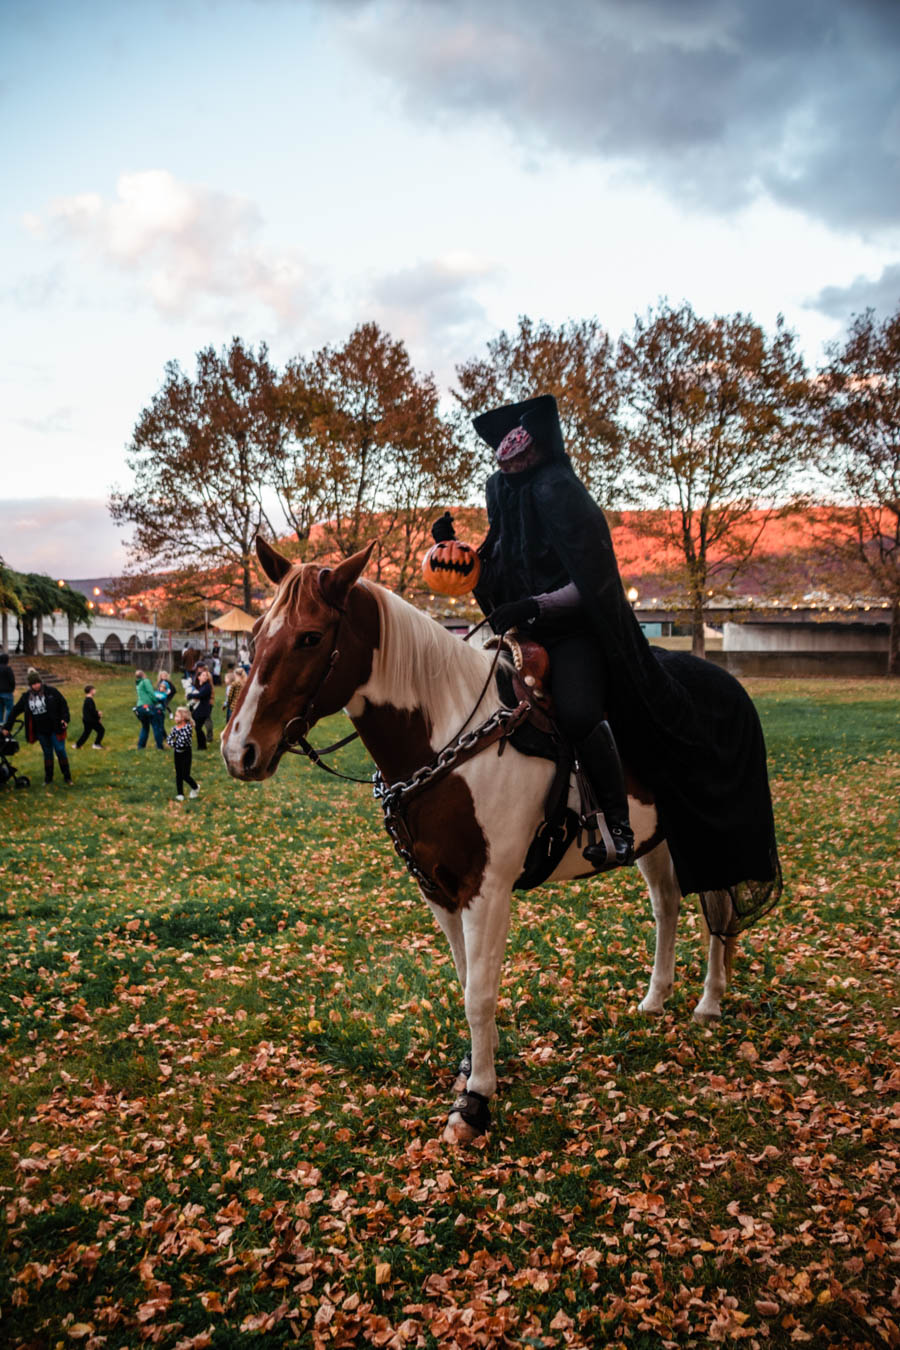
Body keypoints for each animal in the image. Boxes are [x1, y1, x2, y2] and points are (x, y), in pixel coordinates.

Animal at [221, 537, 734, 1139]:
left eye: (310, 637)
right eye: (255, 634)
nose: (239, 750)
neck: (450, 740)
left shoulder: (486, 892)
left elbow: (478, 993)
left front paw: (477, 1100)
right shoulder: (439, 891)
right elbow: (466, 978)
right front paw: (473, 1068)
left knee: (719, 911)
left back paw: (710, 1001)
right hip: (657, 842)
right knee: (669, 905)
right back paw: (657, 998)